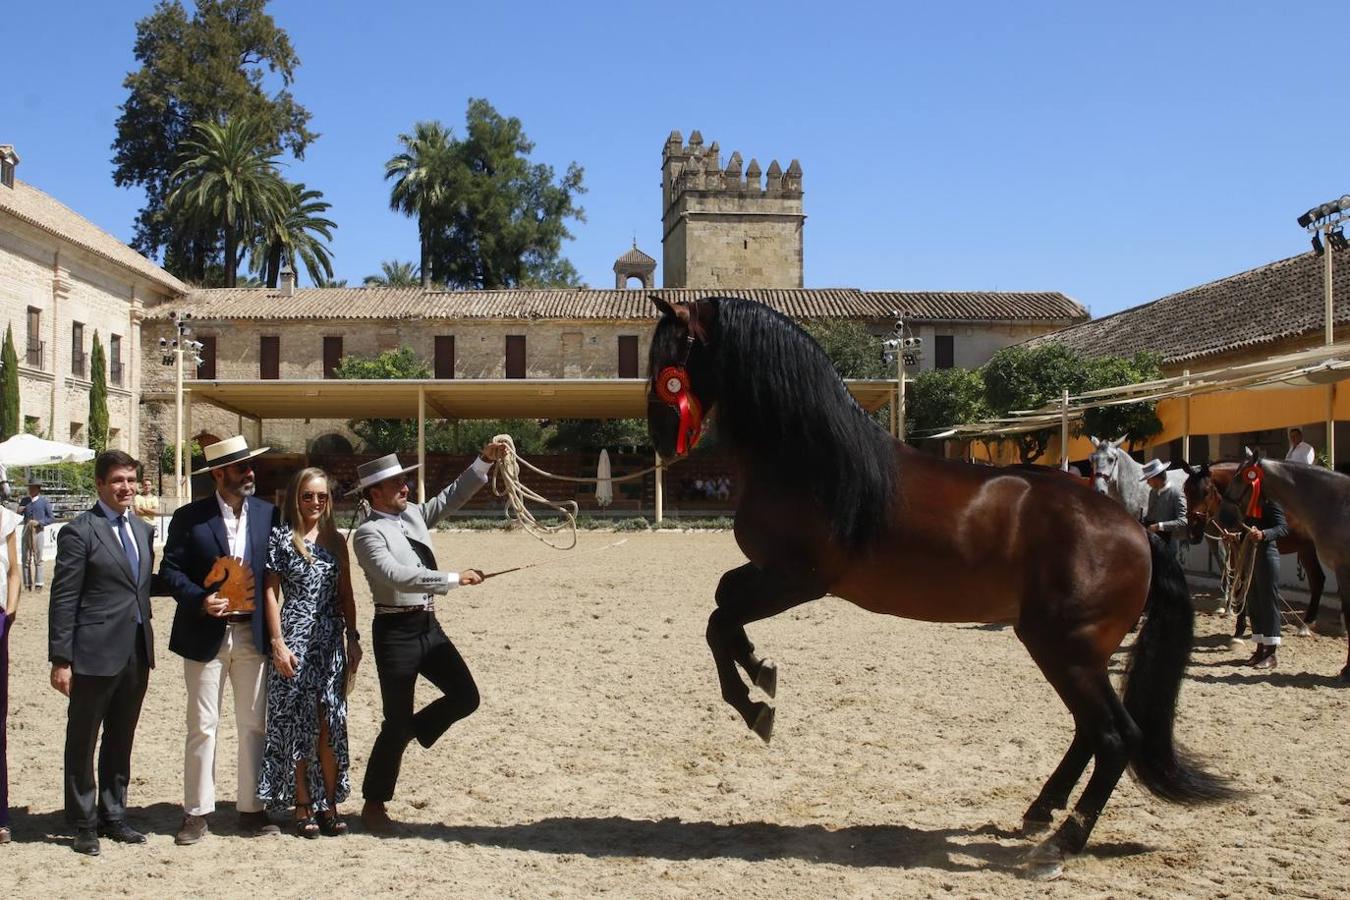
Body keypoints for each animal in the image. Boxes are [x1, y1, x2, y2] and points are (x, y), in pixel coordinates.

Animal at [648, 296, 1236, 879]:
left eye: (672, 356)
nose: (657, 435)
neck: (814, 460)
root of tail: (1138, 530)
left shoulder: (797, 578)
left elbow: (719, 618)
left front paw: (756, 704)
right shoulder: (772, 573)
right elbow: (723, 603)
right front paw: (761, 671)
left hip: (1066, 649)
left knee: (1117, 736)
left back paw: (1060, 844)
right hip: (1070, 652)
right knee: (1089, 731)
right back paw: (1040, 811)